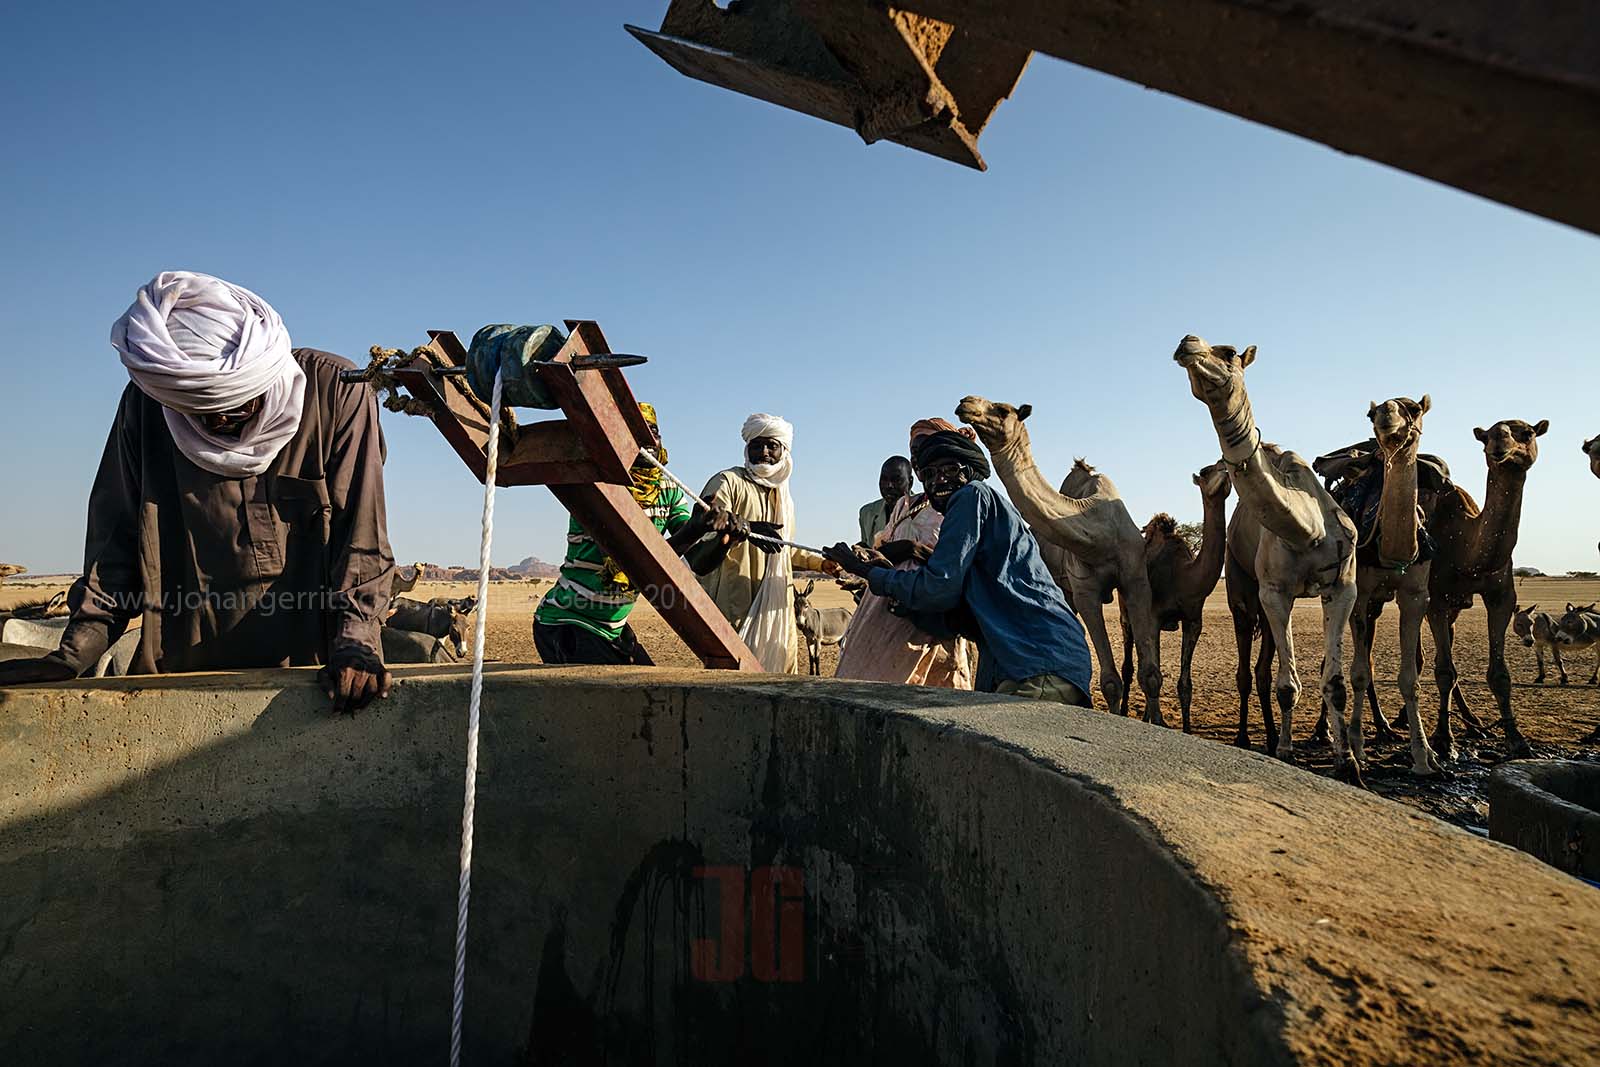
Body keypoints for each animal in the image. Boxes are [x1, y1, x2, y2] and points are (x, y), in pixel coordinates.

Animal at [955, 398, 1165, 723]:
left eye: (1002, 410)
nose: (966, 403)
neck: (1097, 529)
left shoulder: (1136, 579)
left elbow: (1151, 674)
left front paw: (1156, 722)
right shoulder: (1084, 589)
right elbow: (1110, 681)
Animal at [1117, 461, 1232, 732]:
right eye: (1206, 471)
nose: (1226, 467)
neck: (1183, 577)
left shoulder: (1193, 620)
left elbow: (1184, 685)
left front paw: (1186, 729)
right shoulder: (1153, 617)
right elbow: (1151, 673)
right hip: (1126, 613)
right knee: (1129, 666)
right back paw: (1125, 711)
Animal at [1172, 336, 1360, 778]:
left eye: (1227, 353)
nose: (1187, 344)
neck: (1307, 528)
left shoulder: (1343, 586)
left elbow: (1335, 683)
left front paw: (1347, 762)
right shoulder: (1273, 590)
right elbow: (1287, 686)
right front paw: (1287, 752)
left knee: (1262, 667)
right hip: (1243, 589)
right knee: (1247, 671)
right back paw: (1248, 737)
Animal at [1426, 418, 1547, 760]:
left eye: (1527, 433)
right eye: (1488, 435)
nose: (1499, 446)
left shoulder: (1502, 597)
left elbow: (1500, 675)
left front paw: (1517, 740)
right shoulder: (1435, 598)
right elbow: (1445, 671)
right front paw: (1444, 741)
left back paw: (1471, 723)